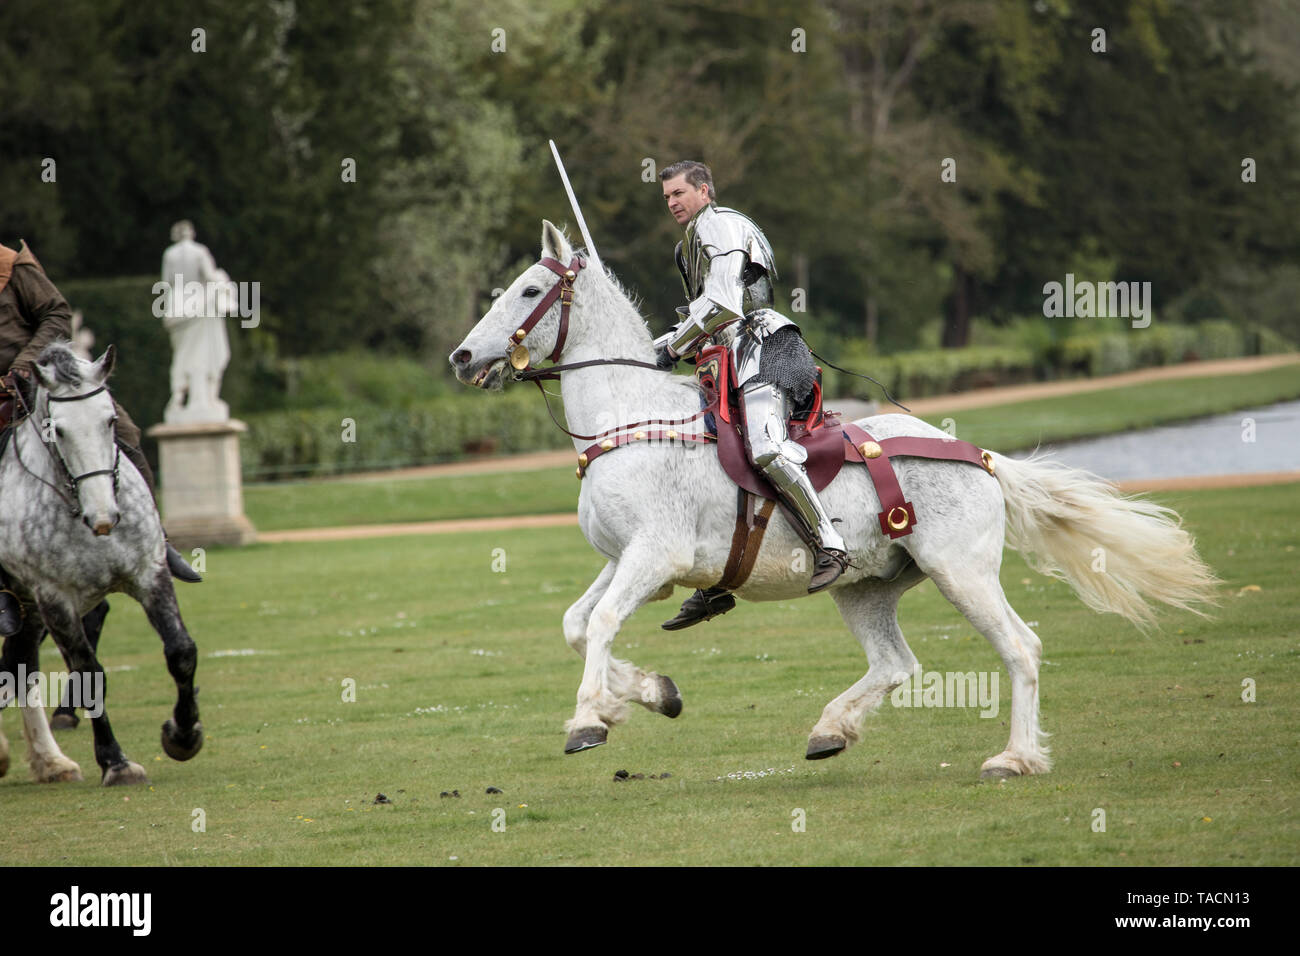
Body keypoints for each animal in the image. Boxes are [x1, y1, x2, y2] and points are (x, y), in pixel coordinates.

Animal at [0, 343, 201, 785]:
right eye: (56, 430)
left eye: (109, 420)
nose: (105, 516)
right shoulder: (56, 599)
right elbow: (89, 672)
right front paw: (116, 761)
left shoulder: (149, 573)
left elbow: (181, 651)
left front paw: (182, 735)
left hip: (27, 605)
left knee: (21, 661)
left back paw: (51, 761)